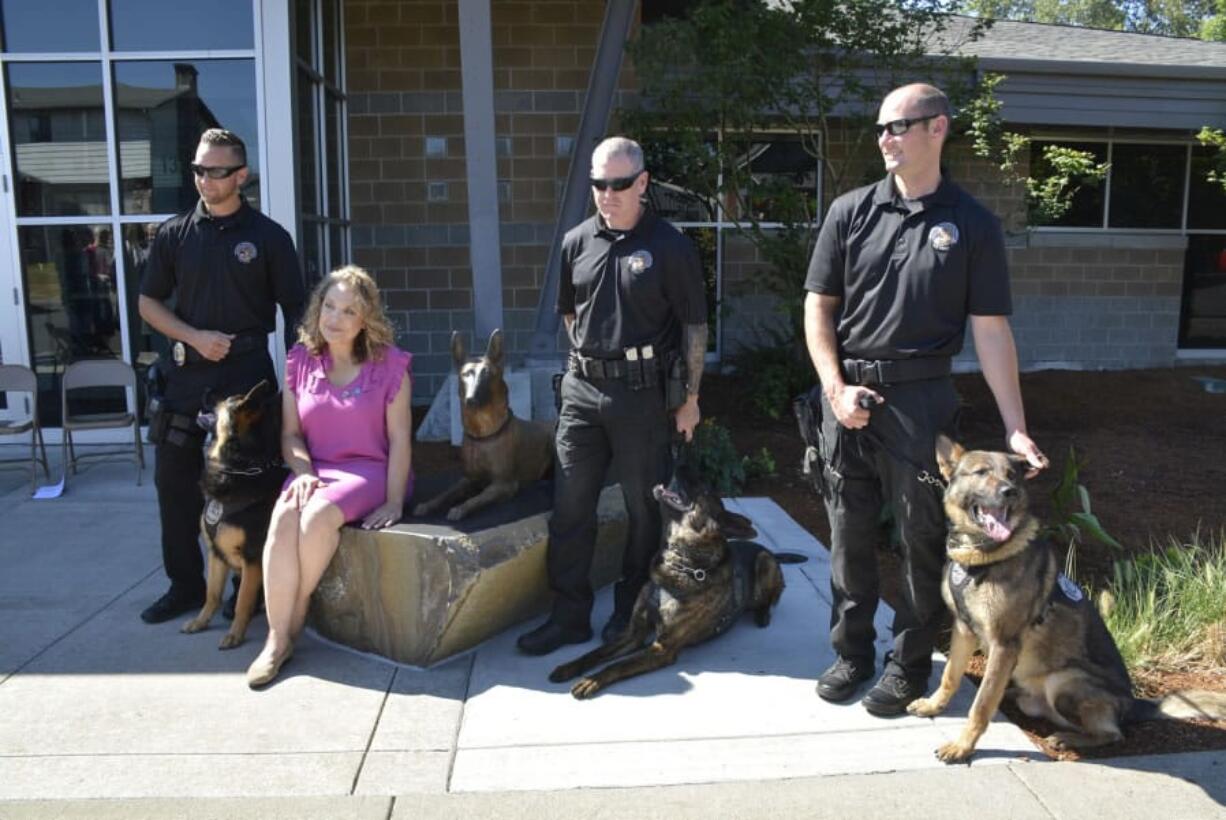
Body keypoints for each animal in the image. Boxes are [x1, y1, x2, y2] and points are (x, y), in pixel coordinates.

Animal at [180, 379, 285, 647]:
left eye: (224, 399)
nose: (206, 388)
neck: (237, 469)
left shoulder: (252, 558)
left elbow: (243, 601)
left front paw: (235, 634)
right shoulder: (215, 553)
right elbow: (212, 594)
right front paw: (200, 621)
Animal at [411, 326, 551, 517]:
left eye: (487, 374)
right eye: (464, 375)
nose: (471, 400)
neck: (482, 433)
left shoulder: (504, 484)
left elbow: (478, 498)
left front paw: (460, 508)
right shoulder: (467, 479)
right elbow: (446, 493)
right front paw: (428, 504)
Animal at [546, 470, 794, 701]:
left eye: (705, 490)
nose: (683, 464)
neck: (680, 565)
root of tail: (769, 551)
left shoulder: (662, 649)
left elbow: (618, 665)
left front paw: (591, 681)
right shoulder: (633, 634)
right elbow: (596, 653)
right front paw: (569, 667)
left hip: (764, 562)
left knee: (773, 597)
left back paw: (763, 615)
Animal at [912, 433, 1226, 759]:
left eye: (1011, 475)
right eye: (981, 472)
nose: (1010, 492)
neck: (980, 556)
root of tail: (1133, 704)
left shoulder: (1004, 644)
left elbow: (981, 704)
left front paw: (962, 746)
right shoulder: (963, 630)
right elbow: (950, 675)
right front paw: (934, 705)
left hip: (1065, 682)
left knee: (1112, 733)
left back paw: (1067, 739)